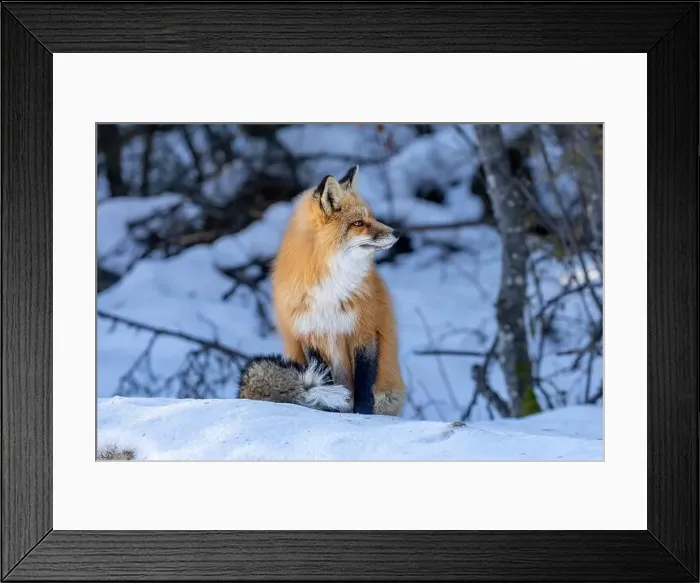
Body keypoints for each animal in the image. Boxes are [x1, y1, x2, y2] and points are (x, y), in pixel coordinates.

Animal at [268, 165, 406, 416]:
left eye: (371, 217)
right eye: (359, 223)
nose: (397, 232)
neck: (331, 287)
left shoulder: (364, 329)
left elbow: (364, 381)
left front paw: (363, 413)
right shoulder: (309, 332)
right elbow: (324, 380)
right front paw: (329, 407)